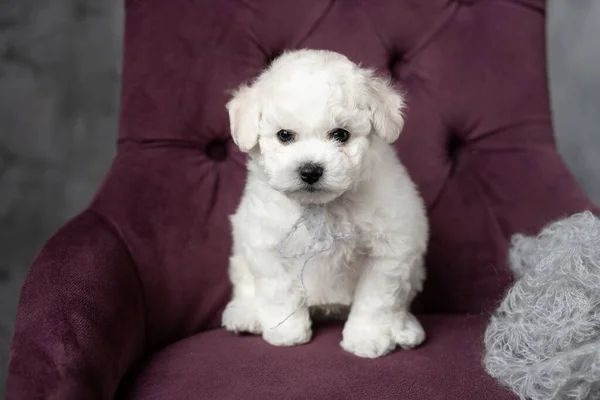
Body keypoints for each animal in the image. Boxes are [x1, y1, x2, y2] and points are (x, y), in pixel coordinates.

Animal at [223, 48, 428, 358]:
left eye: (341, 134)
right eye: (284, 135)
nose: (310, 170)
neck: (323, 206)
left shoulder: (390, 249)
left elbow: (376, 300)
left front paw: (367, 338)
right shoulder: (266, 242)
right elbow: (279, 291)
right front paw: (287, 332)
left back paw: (404, 328)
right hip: (241, 252)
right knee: (245, 284)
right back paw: (245, 314)